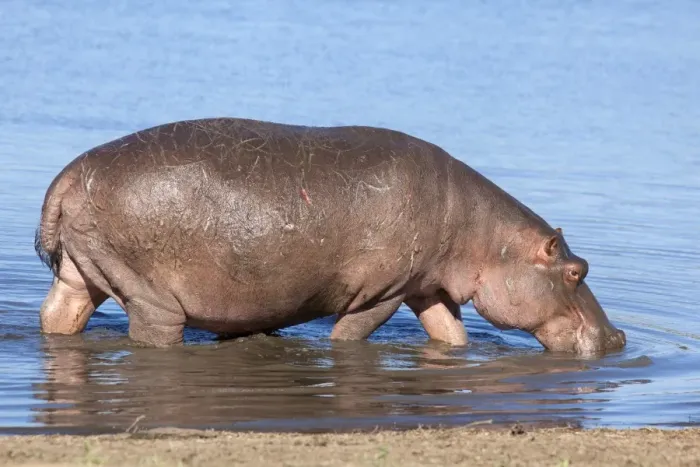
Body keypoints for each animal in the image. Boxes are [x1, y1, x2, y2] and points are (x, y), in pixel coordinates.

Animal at [35, 118, 626, 355]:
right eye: (577, 271)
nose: (618, 337)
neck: (485, 236)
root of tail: (67, 176)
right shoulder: (385, 291)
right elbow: (351, 334)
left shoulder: (425, 287)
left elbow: (450, 335)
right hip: (151, 296)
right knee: (154, 331)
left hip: (85, 270)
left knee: (59, 314)